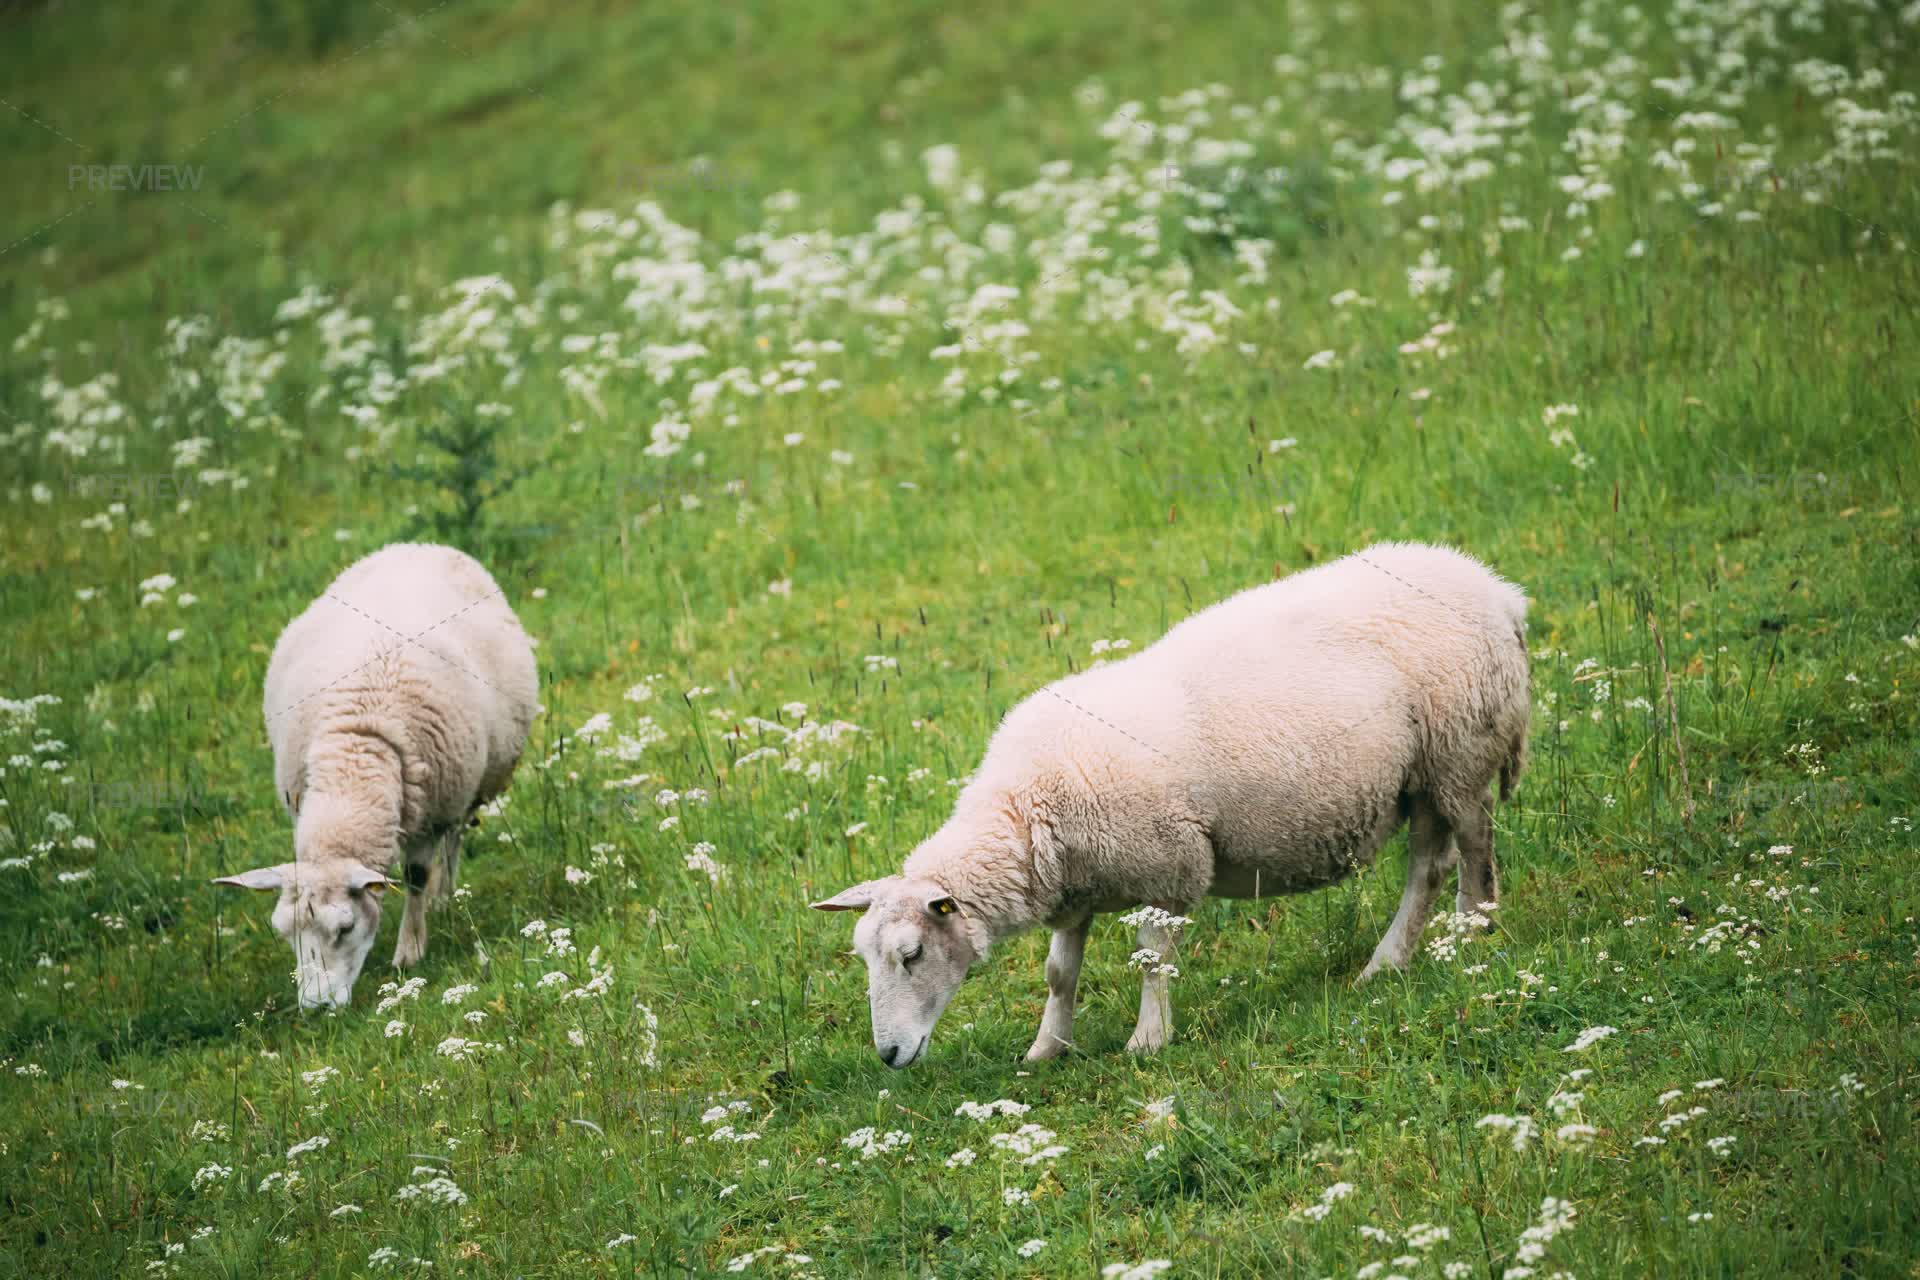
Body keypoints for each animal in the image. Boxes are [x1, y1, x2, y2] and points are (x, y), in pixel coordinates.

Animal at [216, 543, 538, 1009]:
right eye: (283, 932)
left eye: (346, 928)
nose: (316, 1008)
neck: (356, 754)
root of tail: (419, 545)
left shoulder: (432, 812)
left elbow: (416, 877)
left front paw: (409, 950)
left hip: (467, 787)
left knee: (455, 840)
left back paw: (445, 897)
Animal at [812, 542, 1529, 1067]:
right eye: (865, 958)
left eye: (911, 955)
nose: (888, 1055)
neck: (1025, 810)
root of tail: (1498, 590)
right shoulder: (1074, 890)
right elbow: (1058, 973)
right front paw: (1047, 1048)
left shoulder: (1170, 866)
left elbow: (1153, 957)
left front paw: (1148, 1040)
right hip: (1423, 776)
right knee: (1431, 863)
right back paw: (1401, 955)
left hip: (1461, 749)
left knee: (1469, 851)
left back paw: (1466, 933)